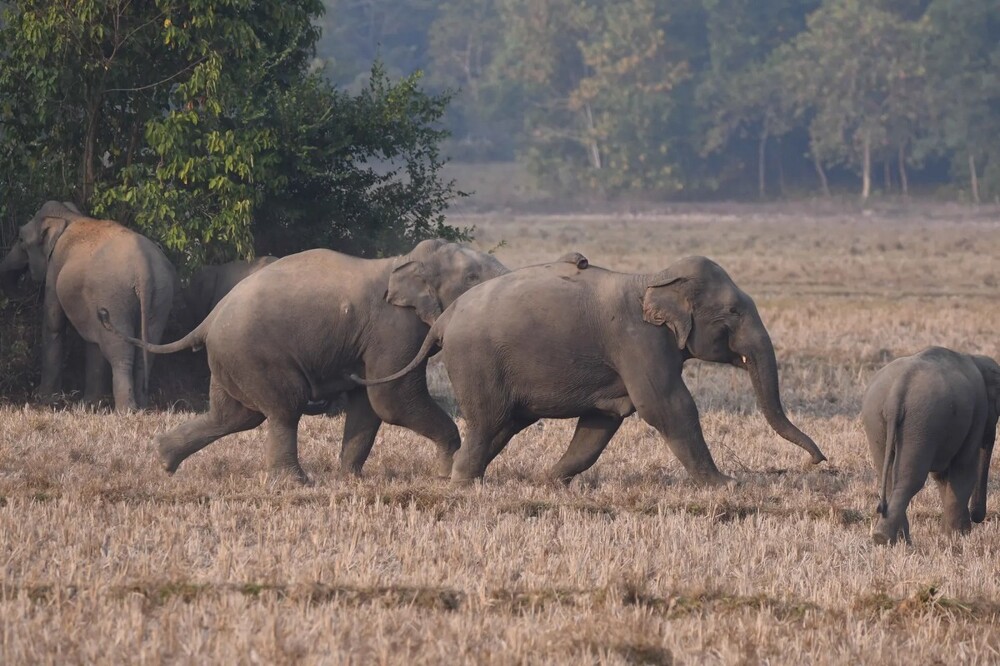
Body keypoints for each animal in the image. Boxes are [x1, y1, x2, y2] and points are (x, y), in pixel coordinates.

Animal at [0, 200, 178, 410]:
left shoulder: (55, 266)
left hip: (114, 297)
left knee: (120, 353)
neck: (68, 216)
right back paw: (141, 408)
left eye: (20, 238)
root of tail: (144, 270)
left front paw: (45, 399)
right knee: (147, 350)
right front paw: (90, 404)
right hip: (161, 296)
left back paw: (126, 410)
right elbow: (94, 342)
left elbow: (53, 324)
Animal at [98, 239, 508, 482]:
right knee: (283, 408)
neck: (407, 261)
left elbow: (367, 404)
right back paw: (294, 482)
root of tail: (209, 321)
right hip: (256, 356)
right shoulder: (394, 327)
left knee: (234, 416)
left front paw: (351, 480)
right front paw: (448, 470)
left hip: (232, 359)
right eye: (472, 276)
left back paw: (163, 460)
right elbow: (392, 399)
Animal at [356, 252, 824, 486]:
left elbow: (603, 420)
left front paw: (550, 481)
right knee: (489, 421)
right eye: (733, 311)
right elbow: (666, 407)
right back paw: (462, 483)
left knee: (504, 425)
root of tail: (443, 320)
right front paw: (724, 485)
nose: (817, 461)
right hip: (476, 362)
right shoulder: (638, 341)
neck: (652, 278)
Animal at [860, 344, 1000, 544]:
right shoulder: (978, 413)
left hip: (876, 419)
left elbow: (942, 476)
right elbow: (964, 470)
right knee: (911, 479)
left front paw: (951, 533)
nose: (977, 516)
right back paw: (888, 538)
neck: (976, 359)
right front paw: (958, 536)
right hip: (921, 421)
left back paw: (894, 538)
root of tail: (897, 390)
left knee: (888, 477)